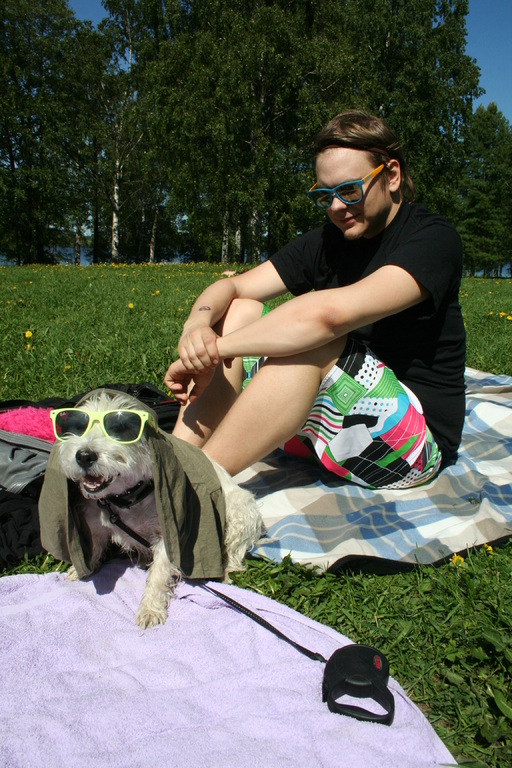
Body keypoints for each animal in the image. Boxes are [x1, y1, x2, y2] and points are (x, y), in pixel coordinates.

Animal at [51, 390, 263, 629]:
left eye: (122, 429)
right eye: (77, 426)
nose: (84, 455)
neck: (129, 498)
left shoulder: (169, 535)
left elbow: (159, 575)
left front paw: (150, 609)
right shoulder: (97, 522)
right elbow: (95, 546)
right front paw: (79, 570)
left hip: (240, 515)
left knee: (234, 553)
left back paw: (225, 573)